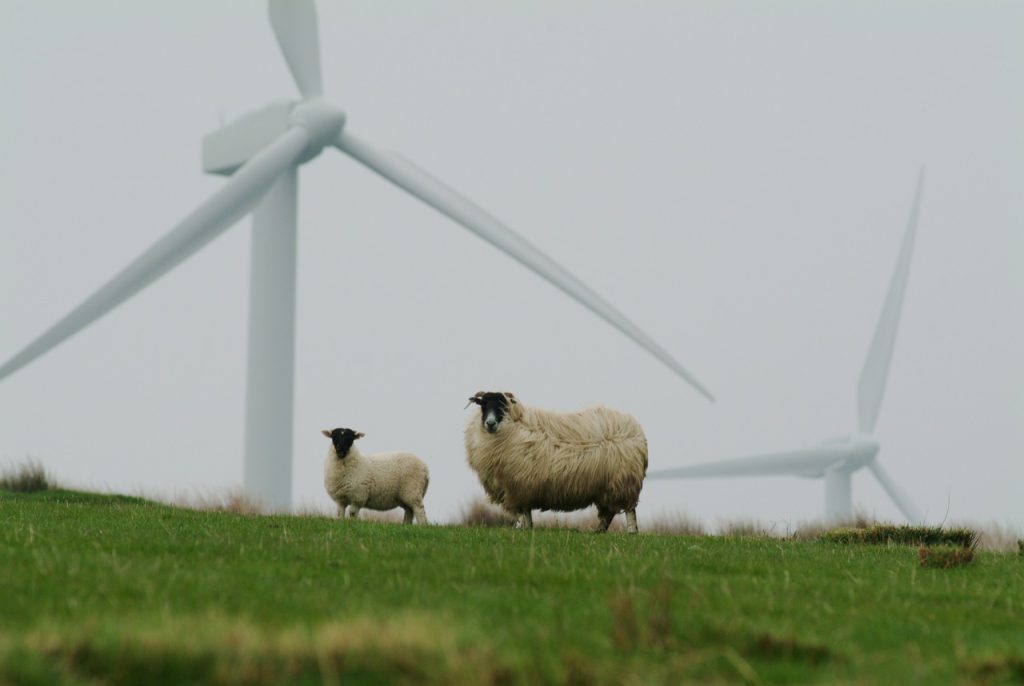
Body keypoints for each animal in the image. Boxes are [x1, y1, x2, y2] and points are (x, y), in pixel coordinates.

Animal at [464, 393, 647, 532]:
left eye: (502, 406)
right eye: (483, 405)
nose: (490, 423)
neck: (512, 428)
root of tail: (636, 430)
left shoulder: (517, 486)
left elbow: (522, 512)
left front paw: (520, 528)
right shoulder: (522, 488)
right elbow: (526, 514)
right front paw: (526, 529)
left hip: (624, 482)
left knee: (629, 510)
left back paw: (631, 532)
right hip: (607, 487)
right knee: (608, 513)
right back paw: (598, 532)